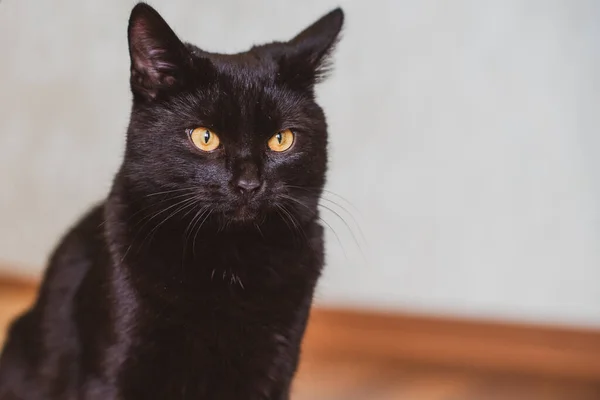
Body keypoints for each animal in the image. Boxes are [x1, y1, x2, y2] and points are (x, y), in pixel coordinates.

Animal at [0, 3, 344, 400]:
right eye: (205, 137)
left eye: (281, 139)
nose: (248, 184)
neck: (228, 262)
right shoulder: (114, 367)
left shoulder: (274, 368)